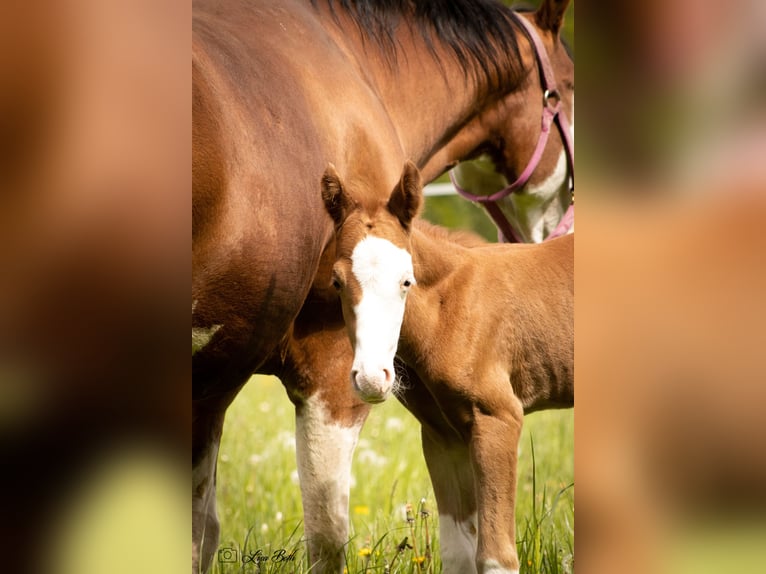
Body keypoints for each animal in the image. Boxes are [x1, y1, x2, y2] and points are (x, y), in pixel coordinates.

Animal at [321, 161, 574, 573]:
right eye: (337, 282)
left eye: (406, 281)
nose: (373, 379)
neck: (450, 307)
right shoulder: (442, 433)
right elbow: (458, 554)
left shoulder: (498, 417)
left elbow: (495, 556)